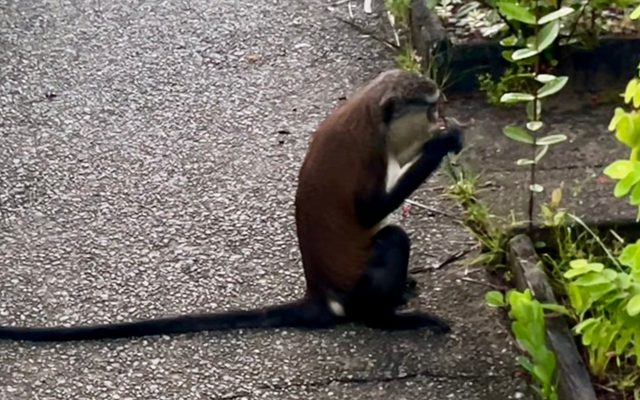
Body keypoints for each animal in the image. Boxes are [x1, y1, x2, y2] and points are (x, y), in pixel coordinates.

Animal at [0, 69, 464, 342]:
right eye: (430, 109)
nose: (439, 118)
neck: (370, 110)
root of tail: (321, 293)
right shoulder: (367, 154)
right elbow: (368, 212)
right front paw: (442, 142)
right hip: (358, 287)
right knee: (392, 237)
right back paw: (386, 319)